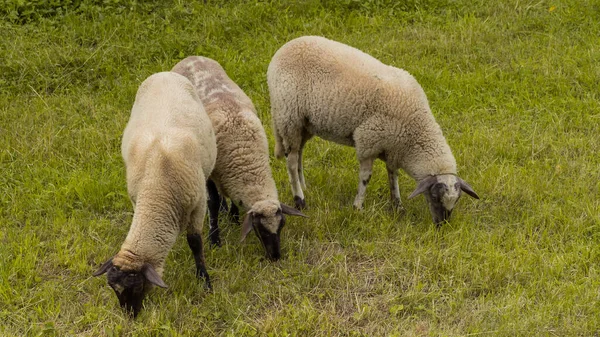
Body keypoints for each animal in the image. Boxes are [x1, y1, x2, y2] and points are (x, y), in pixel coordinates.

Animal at [92, 71, 217, 316]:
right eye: (113, 288)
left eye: (137, 286)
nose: (130, 316)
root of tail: (164, 73)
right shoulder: (136, 198)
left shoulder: (197, 205)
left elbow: (195, 243)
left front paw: (204, 279)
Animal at [172, 55, 304, 260]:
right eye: (260, 229)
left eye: (282, 225)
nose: (275, 257)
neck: (244, 154)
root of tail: (191, 58)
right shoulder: (212, 172)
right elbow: (212, 202)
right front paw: (214, 239)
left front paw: (233, 217)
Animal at [268, 36, 478, 226]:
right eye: (434, 197)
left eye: (457, 200)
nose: (442, 225)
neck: (416, 129)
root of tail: (282, 50)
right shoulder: (368, 141)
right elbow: (366, 178)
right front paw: (358, 207)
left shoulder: (393, 147)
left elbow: (393, 176)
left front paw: (397, 205)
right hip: (289, 116)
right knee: (291, 162)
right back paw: (300, 199)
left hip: (304, 123)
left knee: (299, 153)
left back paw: (305, 187)